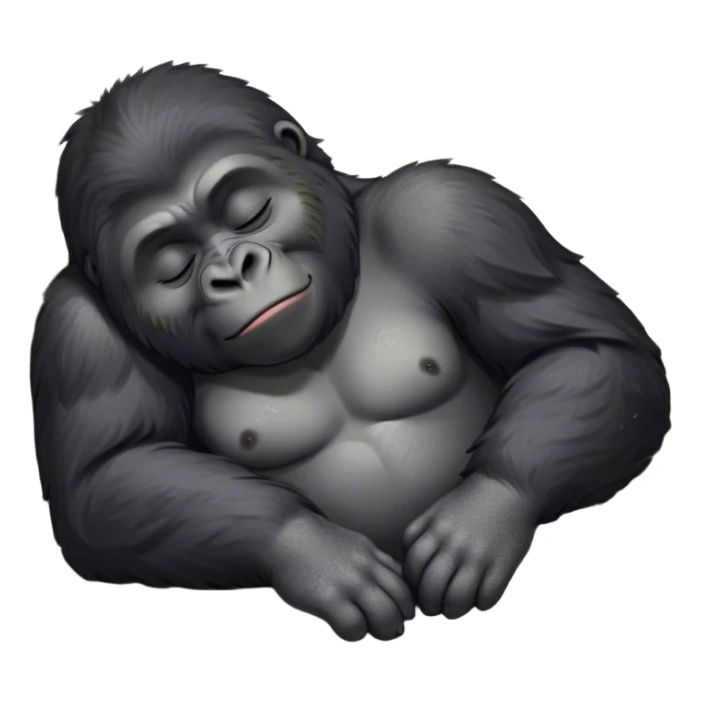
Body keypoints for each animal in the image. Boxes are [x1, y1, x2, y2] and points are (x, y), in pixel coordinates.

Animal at [31, 63, 671, 641]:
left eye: (250, 210)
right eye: (173, 264)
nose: (235, 270)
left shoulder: (457, 213)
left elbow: (585, 347)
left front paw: (485, 514)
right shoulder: (77, 331)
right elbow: (106, 479)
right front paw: (313, 553)